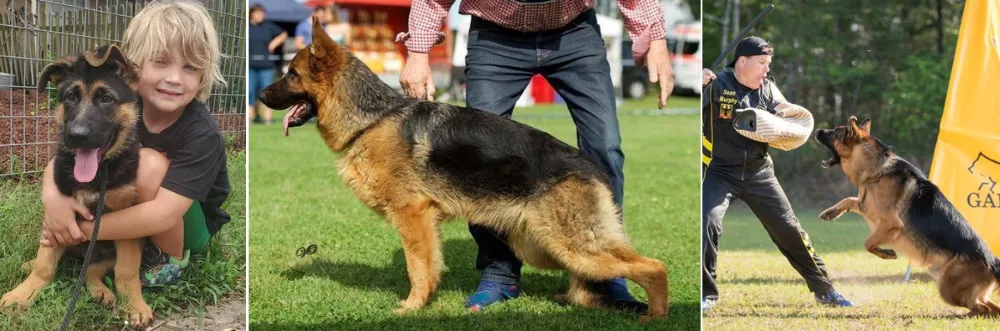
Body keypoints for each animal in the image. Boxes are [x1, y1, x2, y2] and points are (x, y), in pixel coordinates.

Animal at [0, 45, 153, 328]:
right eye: (70, 97)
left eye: (106, 99)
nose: (76, 136)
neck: (99, 174)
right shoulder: (57, 216)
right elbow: (44, 264)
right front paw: (24, 293)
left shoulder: (127, 221)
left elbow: (127, 271)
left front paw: (134, 304)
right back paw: (29, 265)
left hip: (108, 251)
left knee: (92, 271)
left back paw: (101, 292)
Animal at [258, 18, 668, 322]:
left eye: (291, 74)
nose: (260, 96)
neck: (373, 119)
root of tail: (591, 166)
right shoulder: (424, 220)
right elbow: (427, 264)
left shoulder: (413, 215)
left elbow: (417, 266)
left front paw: (412, 307)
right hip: (541, 244)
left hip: (570, 245)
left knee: (654, 266)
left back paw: (656, 315)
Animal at [812, 116, 1000, 316]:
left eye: (835, 132)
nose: (817, 130)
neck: (876, 168)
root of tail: (993, 263)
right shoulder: (866, 205)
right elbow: (849, 200)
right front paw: (830, 212)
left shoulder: (890, 224)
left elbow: (868, 243)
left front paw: (886, 253)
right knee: (989, 306)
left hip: (949, 290)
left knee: (982, 307)